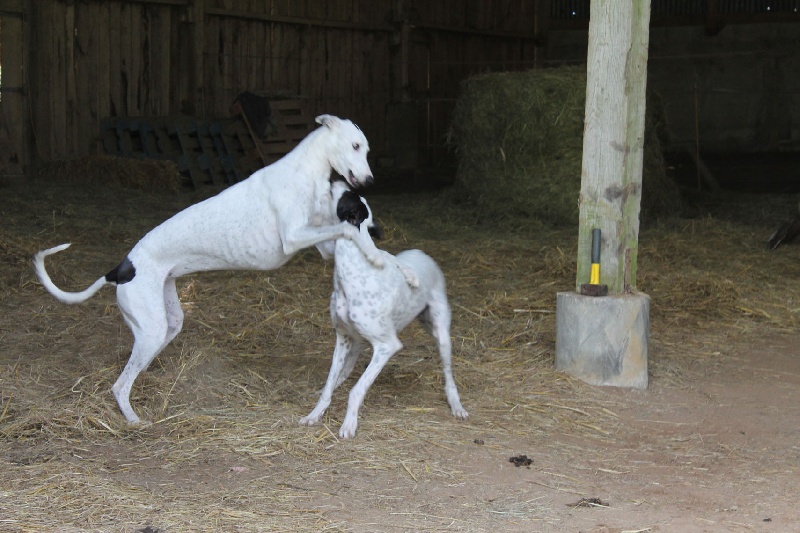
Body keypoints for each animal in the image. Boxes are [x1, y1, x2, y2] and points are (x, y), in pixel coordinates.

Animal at [32, 114, 390, 426]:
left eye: (366, 149)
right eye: (356, 146)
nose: (371, 180)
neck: (305, 169)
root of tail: (121, 267)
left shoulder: (320, 243)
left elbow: (345, 233)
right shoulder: (293, 238)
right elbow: (347, 230)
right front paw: (376, 257)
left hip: (166, 324)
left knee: (135, 365)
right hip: (152, 329)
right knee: (120, 385)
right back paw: (134, 421)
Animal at [298, 185, 468, 438]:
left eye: (347, 197)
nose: (335, 181)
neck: (351, 276)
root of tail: (423, 253)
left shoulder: (387, 346)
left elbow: (357, 389)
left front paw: (349, 424)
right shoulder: (342, 338)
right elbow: (329, 385)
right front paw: (314, 414)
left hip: (441, 334)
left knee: (448, 374)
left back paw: (456, 405)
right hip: (359, 340)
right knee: (346, 369)